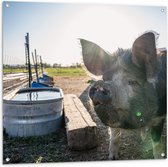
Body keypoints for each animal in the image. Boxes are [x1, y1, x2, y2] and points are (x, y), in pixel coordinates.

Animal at [79, 31, 165, 159]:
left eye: (133, 81)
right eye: (105, 78)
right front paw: (112, 158)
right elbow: (114, 137)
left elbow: (157, 144)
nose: (101, 85)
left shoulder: (160, 117)